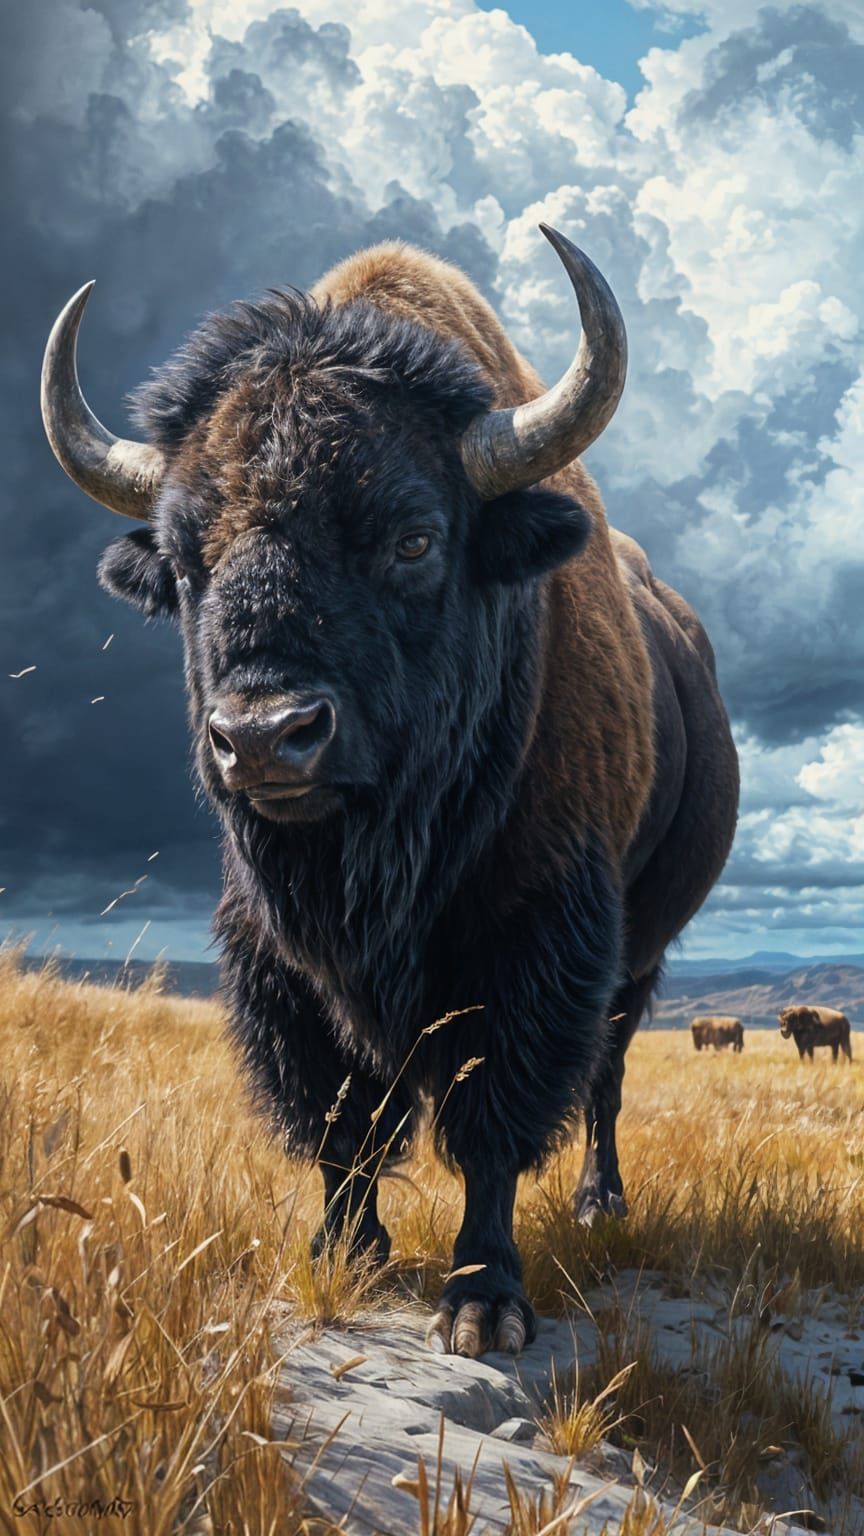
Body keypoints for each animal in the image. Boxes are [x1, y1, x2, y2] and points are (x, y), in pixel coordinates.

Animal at [41, 225, 739, 1357]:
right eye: (187, 561)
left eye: (413, 538)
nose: (263, 738)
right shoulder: (280, 960)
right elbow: (340, 1117)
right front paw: (346, 1252)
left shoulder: (537, 934)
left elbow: (495, 1119)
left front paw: (484, 1301)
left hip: (640, 953)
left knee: (606, 1077)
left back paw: (600, 1203)